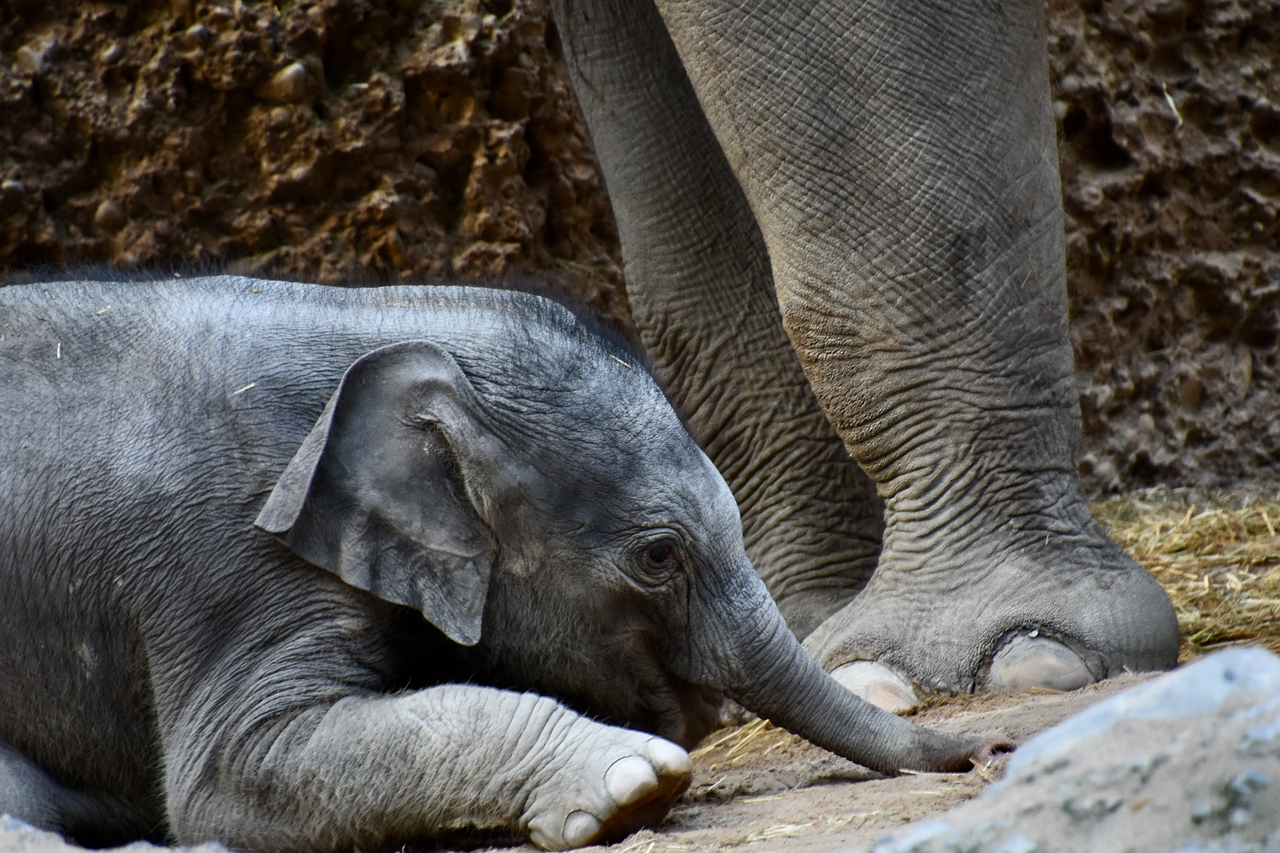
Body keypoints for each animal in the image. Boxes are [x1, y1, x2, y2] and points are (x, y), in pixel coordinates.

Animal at [0, 277, 1002, 852]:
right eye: (658, 555)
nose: (985, 750)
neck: (378, 317)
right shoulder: (222, 559)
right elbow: (231, 775)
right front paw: (633, 784)